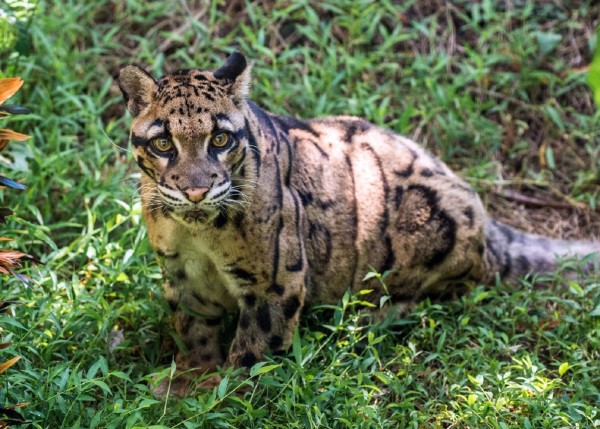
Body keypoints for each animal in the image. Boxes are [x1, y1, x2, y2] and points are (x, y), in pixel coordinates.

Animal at [118, 51, 600, 394]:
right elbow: (195, 333)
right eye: (163, 144)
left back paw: (370, 316)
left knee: (458, 285)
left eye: (220, 139)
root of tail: (482, 213)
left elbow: (253, 351)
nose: (196, 190)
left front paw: (219, 395)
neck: (197, 232)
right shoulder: (185, 278)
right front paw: (190, 379)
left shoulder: (273, 282)